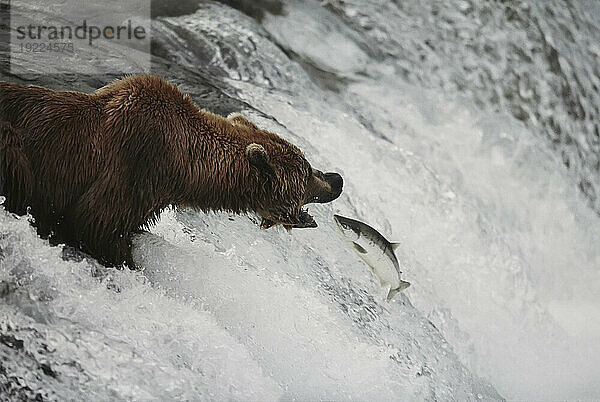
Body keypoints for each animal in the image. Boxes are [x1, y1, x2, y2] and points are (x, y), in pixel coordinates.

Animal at [0, 77, 342, 268]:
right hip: (14, 149)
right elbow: (97, 225)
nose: (337, 180)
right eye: (307, 171)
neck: (183, 168)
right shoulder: (134, 169)